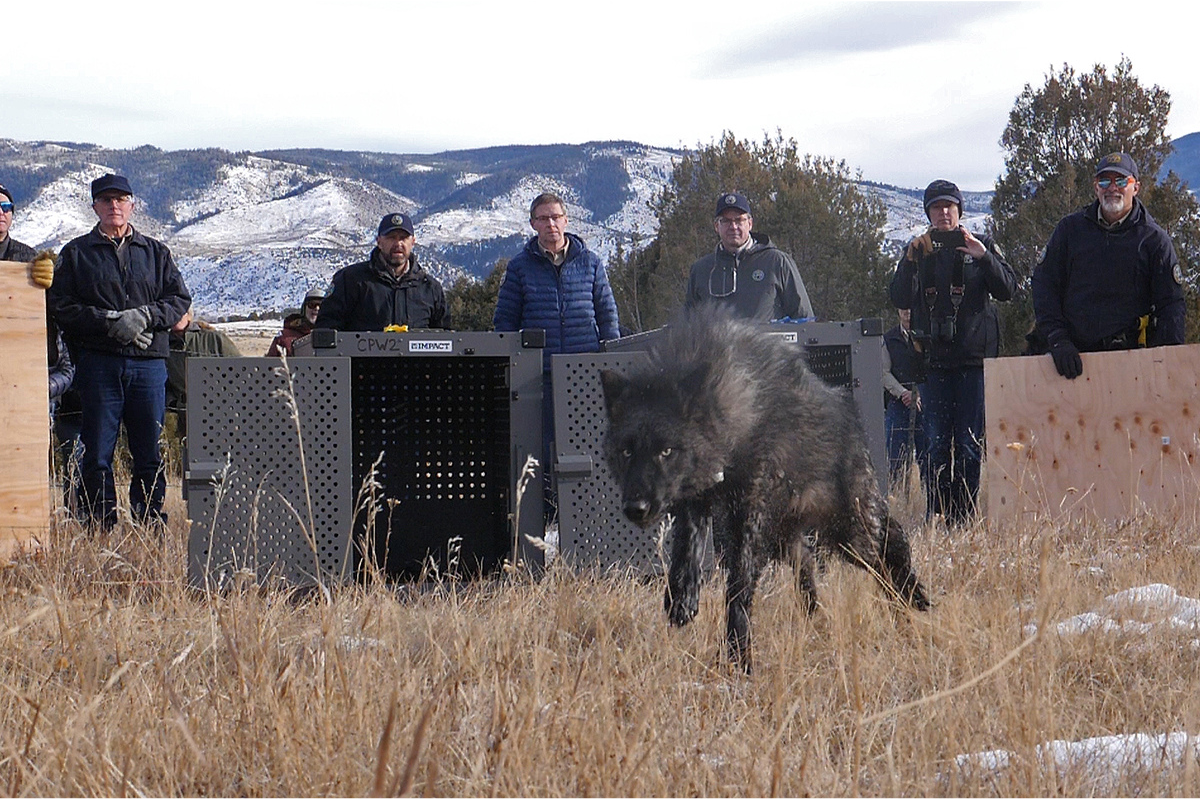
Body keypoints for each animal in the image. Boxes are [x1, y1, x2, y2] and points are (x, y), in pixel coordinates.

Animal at [604, 309, 931, 671]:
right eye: (626, 451)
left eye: (666, 451)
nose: (636, 508)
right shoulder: (696, 502)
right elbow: (686, 553)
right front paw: (683, 599)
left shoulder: (751, 516)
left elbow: (739, 586)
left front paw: (738, 657)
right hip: (794, 541)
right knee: (809, 574)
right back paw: (818, 623)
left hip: (851, 534)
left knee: (891, 551)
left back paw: (911, 600)